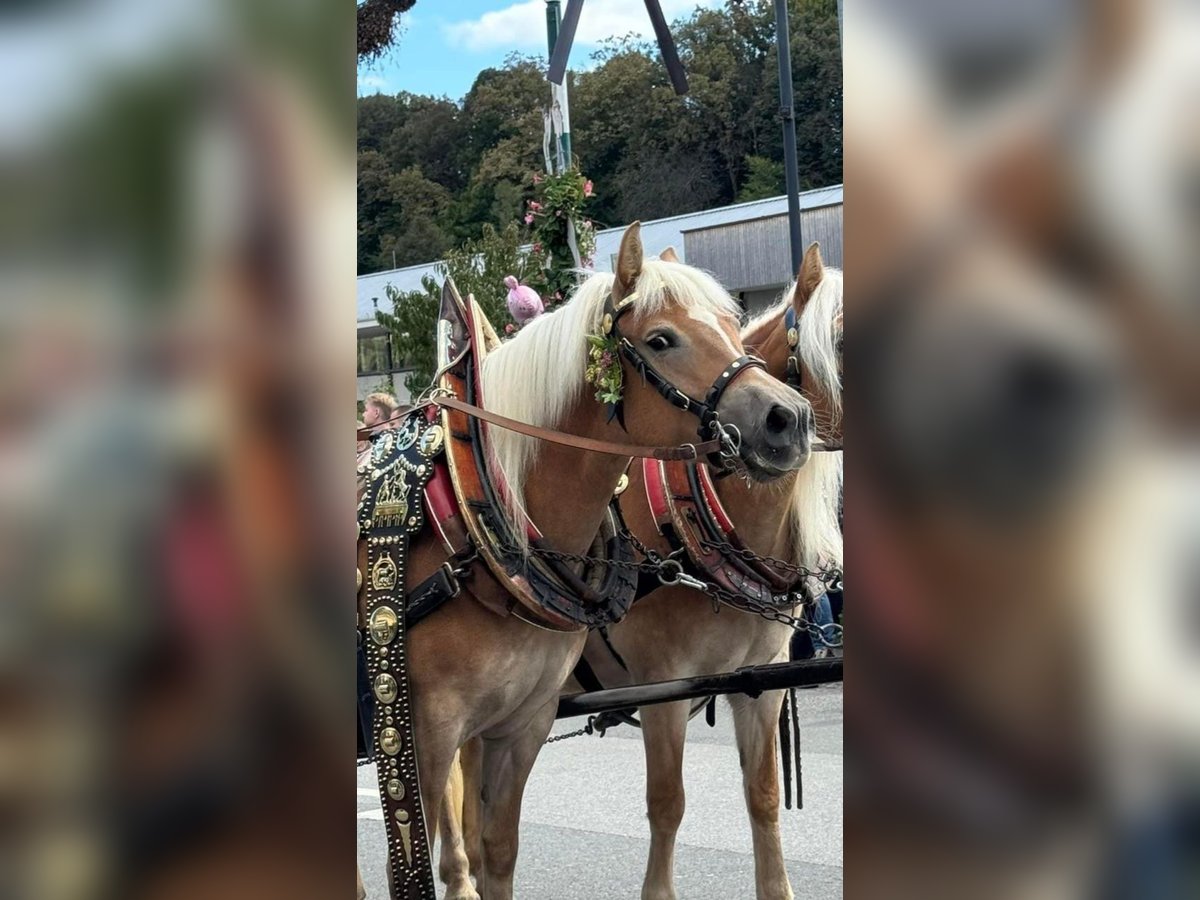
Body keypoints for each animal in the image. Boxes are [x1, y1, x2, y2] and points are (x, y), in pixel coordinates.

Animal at [350, 224, 811, 900]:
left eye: (734, 326)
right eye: (661, 339)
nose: (789, 420)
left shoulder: (523, 726)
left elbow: (501, 854)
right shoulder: (420, 736)